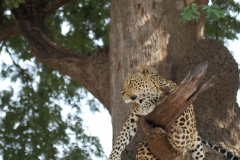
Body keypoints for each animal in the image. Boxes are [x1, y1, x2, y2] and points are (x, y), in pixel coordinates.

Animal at [109, 66, 240, 160]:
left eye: (131, 82)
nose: (121, 93)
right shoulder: (133, 118)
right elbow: (122, 137)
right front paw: (113, 156)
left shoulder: (176, 95)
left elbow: (161, 95)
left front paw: (146, 105)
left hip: (191, 141)